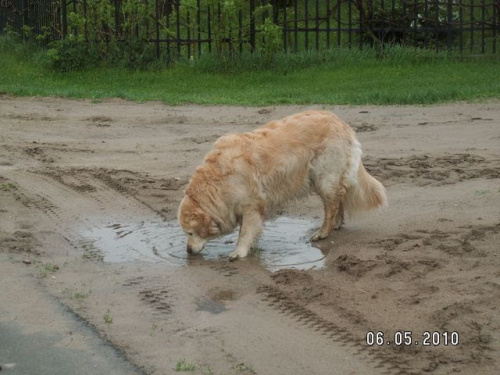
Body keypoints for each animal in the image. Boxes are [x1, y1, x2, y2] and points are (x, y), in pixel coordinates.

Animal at [178, 110, 388, 260]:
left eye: (190, 232)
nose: (188, 251)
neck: (217, 182)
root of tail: (341, 123)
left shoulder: (251, 205)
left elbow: (245, 231)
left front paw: (240, 251)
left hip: (324, 177)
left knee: (332, 205)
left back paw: (322, 232)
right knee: (339, 199)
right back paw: (336, 224)